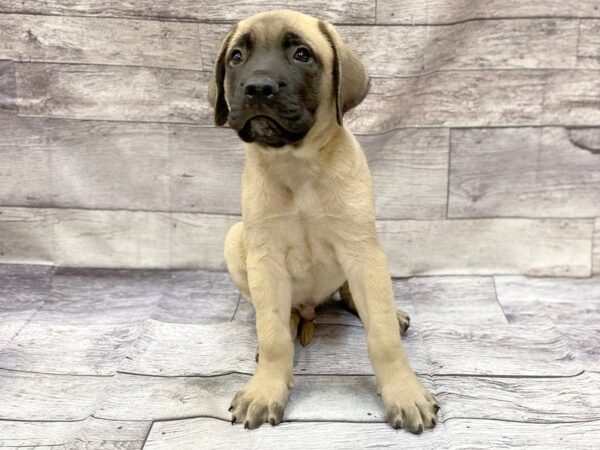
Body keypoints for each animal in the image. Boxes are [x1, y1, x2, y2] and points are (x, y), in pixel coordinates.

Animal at [209, 9, 438, 432]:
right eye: (236, 57)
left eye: (302, 54)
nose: (258, 87)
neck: (297, 164)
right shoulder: (265, 257)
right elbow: (273, 336)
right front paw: (266, 388)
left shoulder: (361, 251)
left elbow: (382, 336)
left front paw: (404, 392)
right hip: (236, 240)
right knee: (274, 316)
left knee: (354, 297)